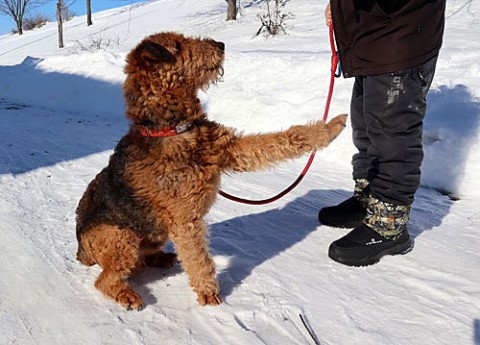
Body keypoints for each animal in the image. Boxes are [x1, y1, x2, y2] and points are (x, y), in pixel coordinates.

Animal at [75, 31, 346, 310]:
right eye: (177, 46)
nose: (221, 45)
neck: (175, 128)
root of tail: (81, 252)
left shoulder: (231, 149)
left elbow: (281, 140)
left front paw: (331, 128)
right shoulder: (185, 220)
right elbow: (199, 261)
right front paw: (209, 294)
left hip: (153, 233)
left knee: (141, 259)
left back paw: (162, 258)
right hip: (122, 238)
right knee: (105, 279)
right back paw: (127, 294)